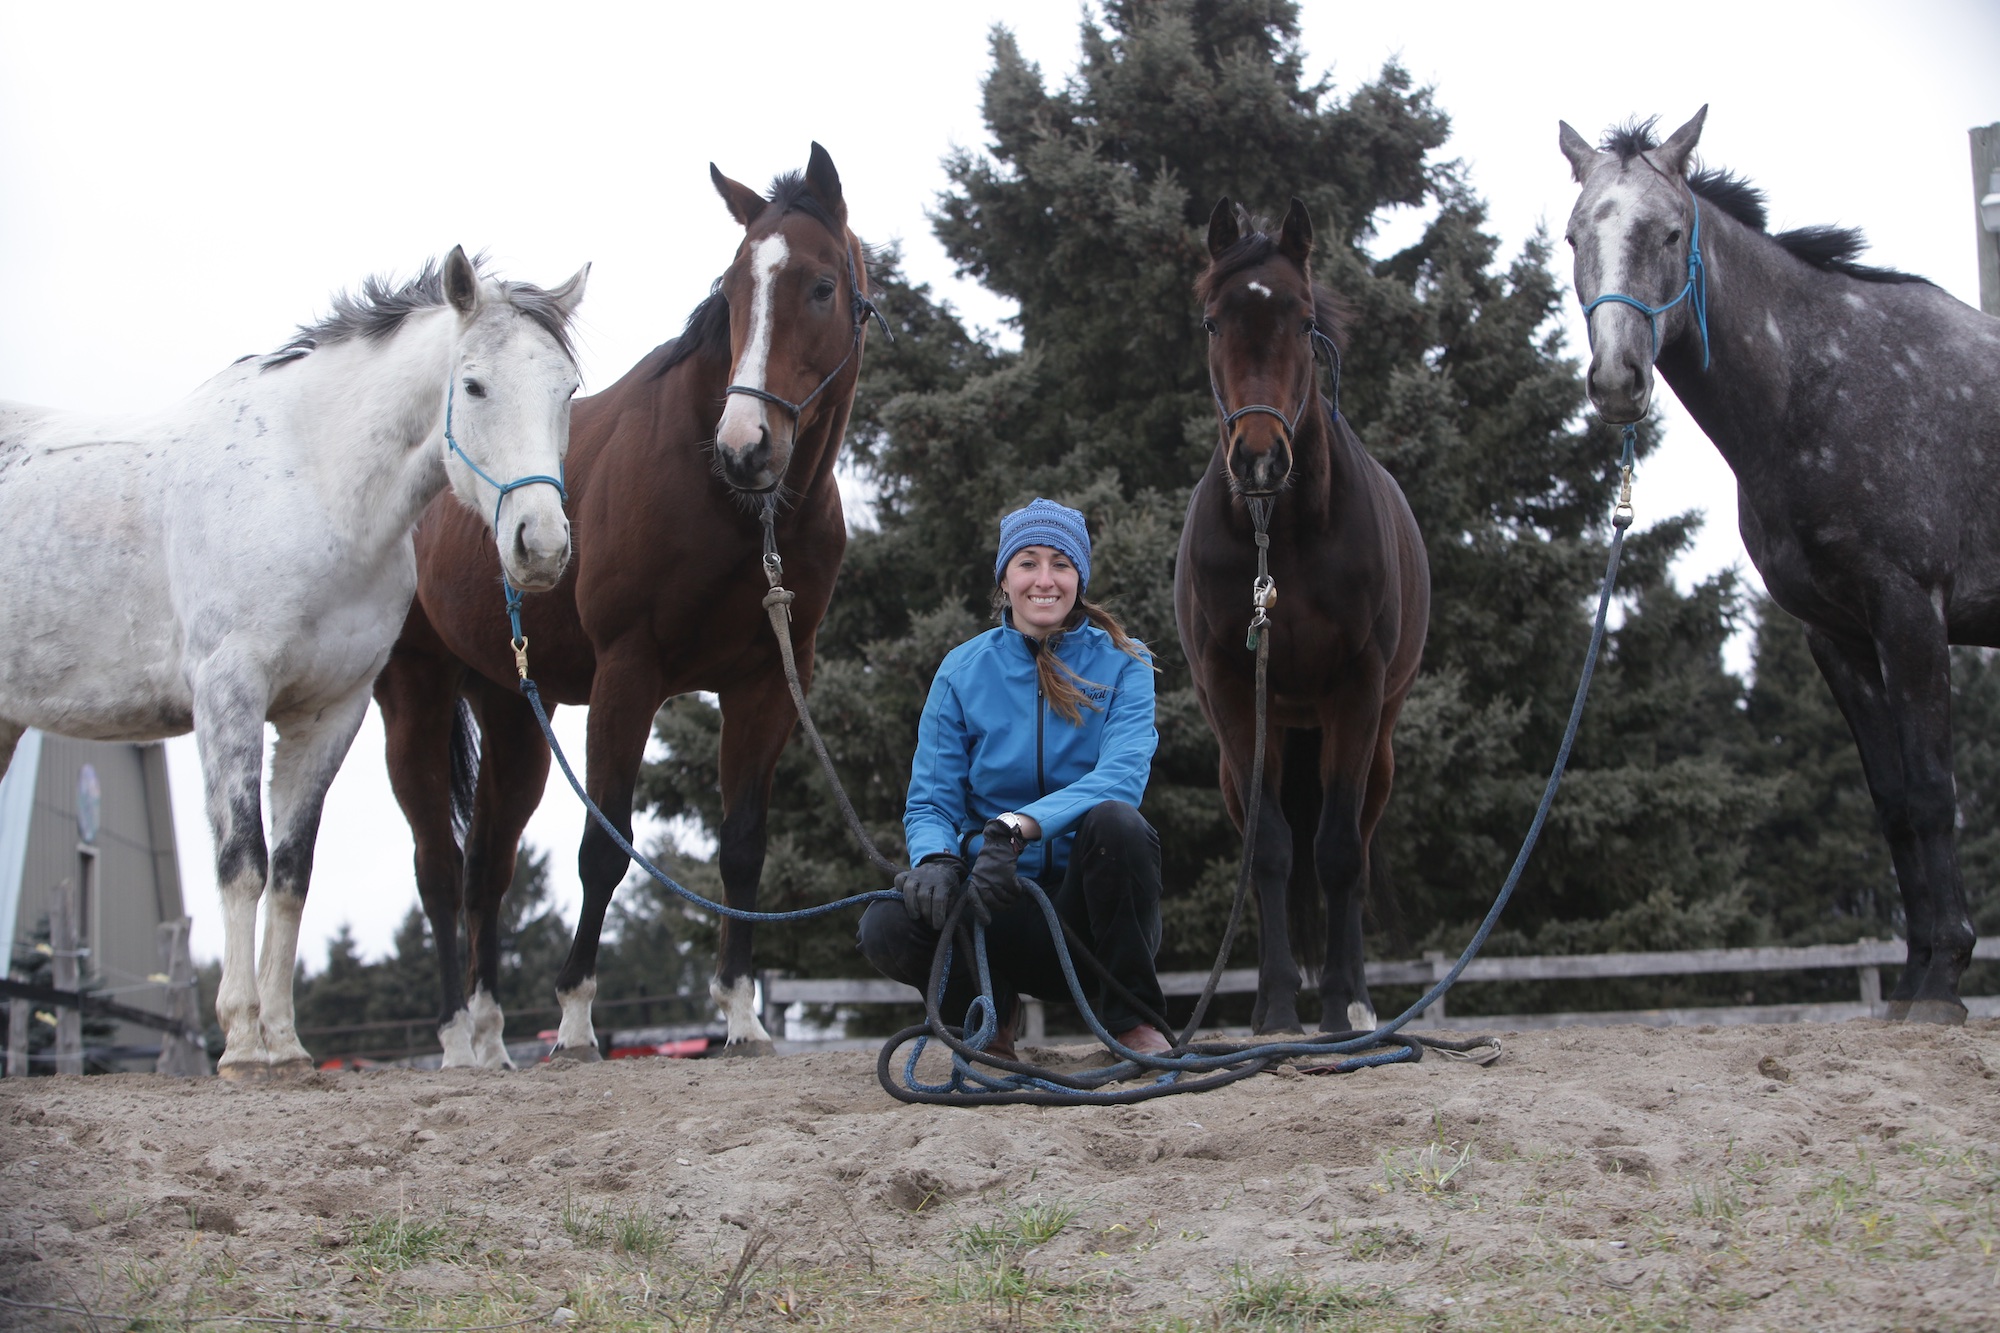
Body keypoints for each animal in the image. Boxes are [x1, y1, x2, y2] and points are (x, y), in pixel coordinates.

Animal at [0, 249, 588, 1072]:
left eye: (567, 390)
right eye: (474, 385)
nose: (541, 547)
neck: (310, 485)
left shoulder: (329, 712)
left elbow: (290, 871)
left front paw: (283, 1040)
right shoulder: (230, 695)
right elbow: (243, 859)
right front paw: (242, 1041)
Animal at [376, 143, 876, 1056]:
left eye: (821, 286)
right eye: (731, 290)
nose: (744, 447)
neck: (734, 506)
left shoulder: (767, 682)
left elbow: (743, 844)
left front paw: (741, 1011)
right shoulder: (627, 672)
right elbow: (603, 848)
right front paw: (576, 1019)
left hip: (513, 711)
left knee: (486, 867)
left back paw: (493, 1034)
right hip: (413, 697)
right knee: (438, 863)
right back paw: (458, 1034)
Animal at [1176, 197, 1432, 1032]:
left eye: (1305, 317)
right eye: (1213, 321)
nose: (1260, 458)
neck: (1279, 534)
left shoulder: (1355, 689)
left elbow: (1338, 851)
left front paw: (1340, 1005)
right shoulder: (1234, 695)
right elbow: (1271, 851)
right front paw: (1276, 1009)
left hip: (1373, 745)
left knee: (1354, 844)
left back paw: (1356, 1003)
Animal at [1560, 109, 2000, 1016]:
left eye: (1671, 231)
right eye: (1575, 235)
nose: (1617, 381)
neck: (1821, 381)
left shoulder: (1912, 612)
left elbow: (1934, 792)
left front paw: (1944, 980)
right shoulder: (1836, 633)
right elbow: (1895, 802)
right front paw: (1914, 974)